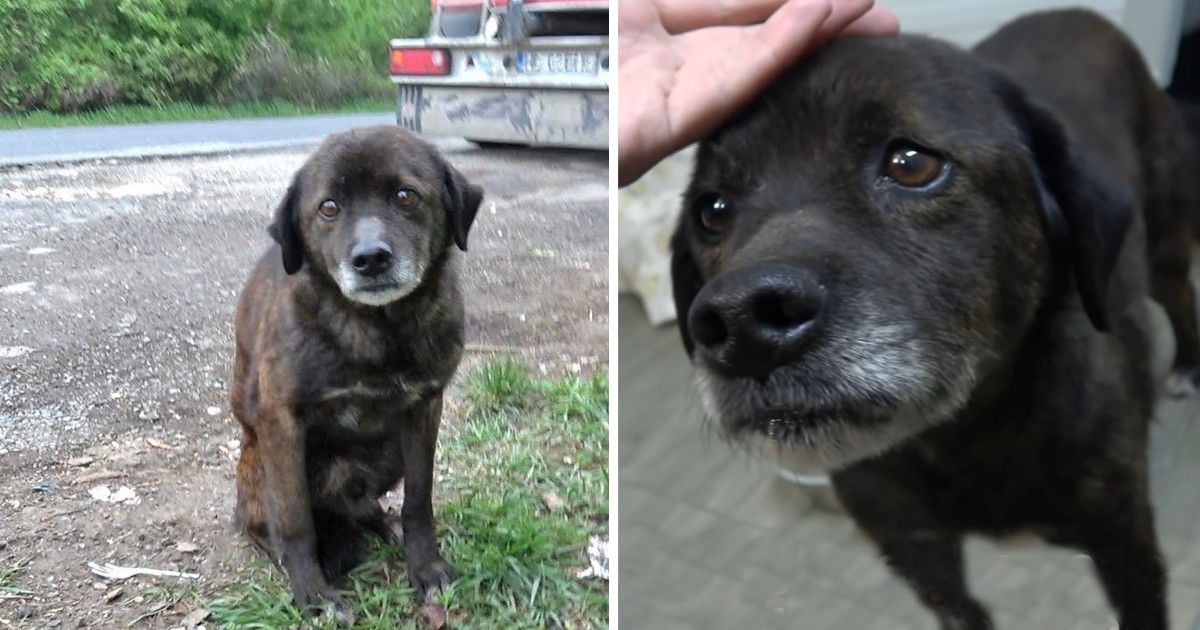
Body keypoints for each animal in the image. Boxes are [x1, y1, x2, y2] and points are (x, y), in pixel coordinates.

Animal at [229, 124, 482, 624]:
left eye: (406, 196)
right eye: (329, 207)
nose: (370, 258)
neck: (376, 328)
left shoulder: (424, 409)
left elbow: (419, 501)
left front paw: (425, 568)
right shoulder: (280, 423)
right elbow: (295, 520)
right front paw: (313, 595)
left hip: (388, 455)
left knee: (364, 506)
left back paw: (383, 525)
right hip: (257, 463)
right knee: (265, 522)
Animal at [672, 9, 1195, 628]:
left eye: (911, 163)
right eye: (712, 210)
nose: (742, 324)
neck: (963, 434)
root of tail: (1078, 12)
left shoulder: (1127, 545)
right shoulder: (919, 555)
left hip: (1165, 245)